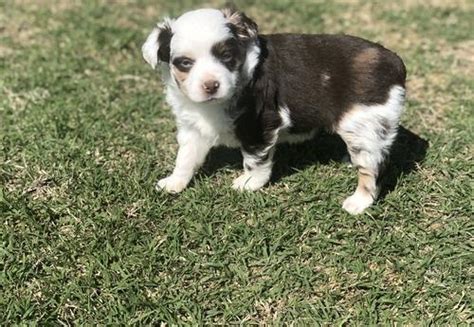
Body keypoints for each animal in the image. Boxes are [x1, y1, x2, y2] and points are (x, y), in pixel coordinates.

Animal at [142, 7, 408, 215]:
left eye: (226, 56)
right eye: (185, 63)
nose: (211, 85)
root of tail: (395, 63)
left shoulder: (259, 122)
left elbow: (254, 160)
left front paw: (248, 183)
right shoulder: (193, 127)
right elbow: (185, 158)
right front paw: (174, 182)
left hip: (364, 126)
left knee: (372, 169)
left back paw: (358, 202)